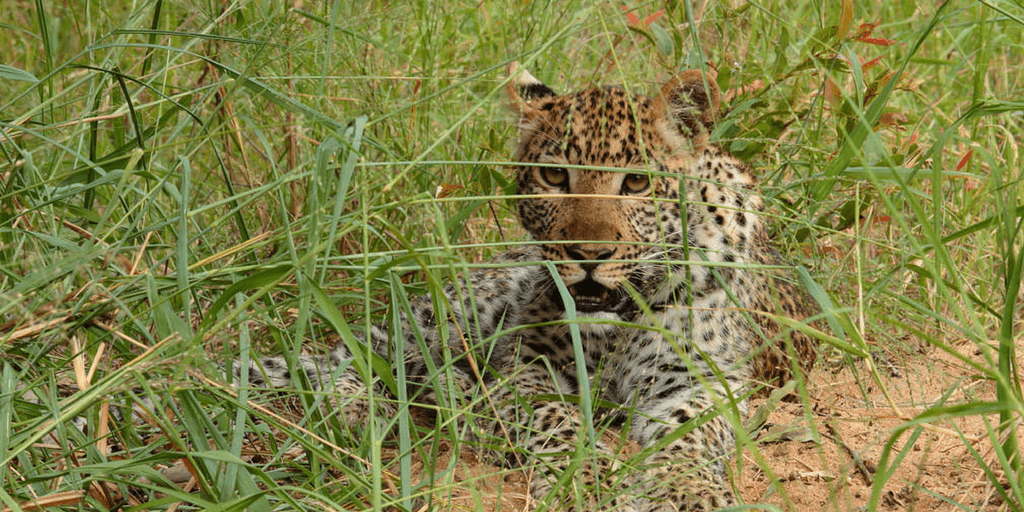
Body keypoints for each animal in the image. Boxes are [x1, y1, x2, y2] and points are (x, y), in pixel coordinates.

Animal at [241, 61, 815, 509]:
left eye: (637, 182)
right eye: (554, 177)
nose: (588, 256)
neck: (618, 323)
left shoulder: (706, 378)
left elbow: (691, 435)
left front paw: (687, 492)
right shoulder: (528, 363)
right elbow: (555, 419)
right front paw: (585, 480)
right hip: (461, 312)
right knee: (360, 352)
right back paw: (385, 405)